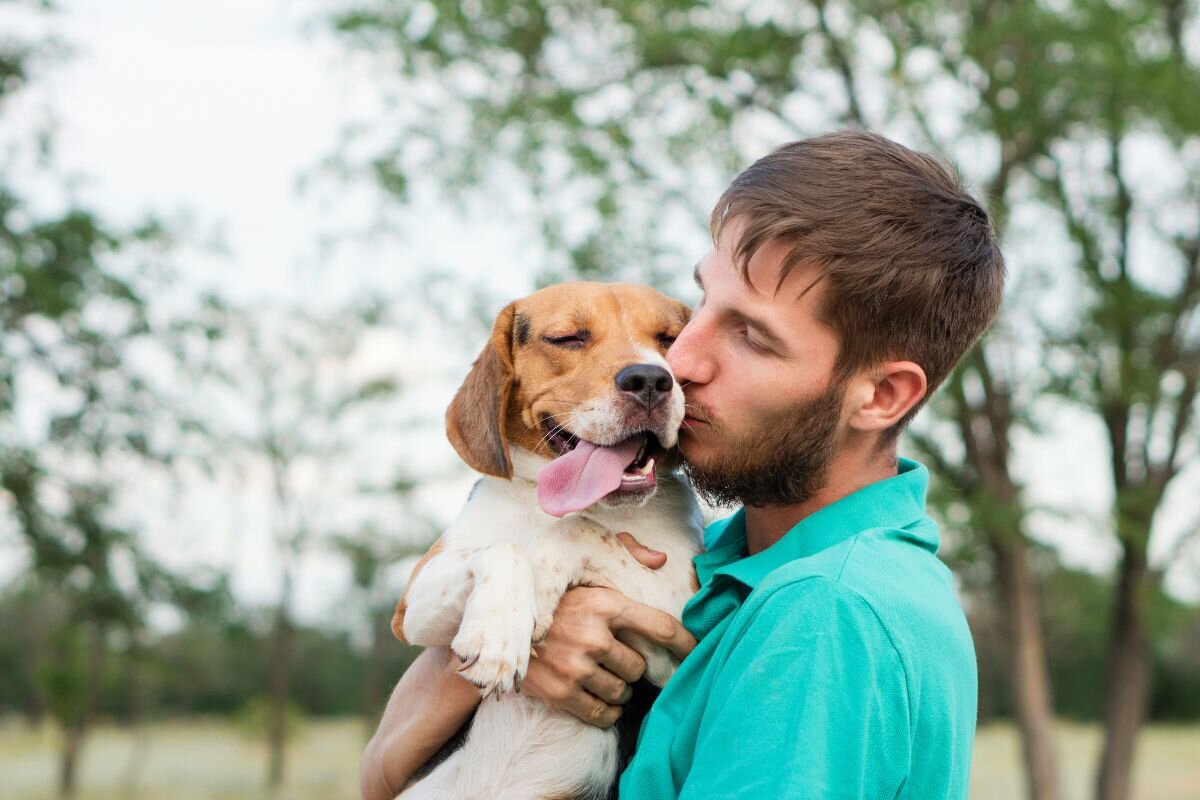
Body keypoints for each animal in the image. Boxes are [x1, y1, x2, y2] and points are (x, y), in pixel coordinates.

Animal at [393, 283, 705, 800]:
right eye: (568, 338)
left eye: (670, 339)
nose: (650, 380)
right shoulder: (412, 605)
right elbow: (503, 548)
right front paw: (497, 634)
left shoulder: (680, 629)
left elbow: (578, 531)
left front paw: (538, 586)